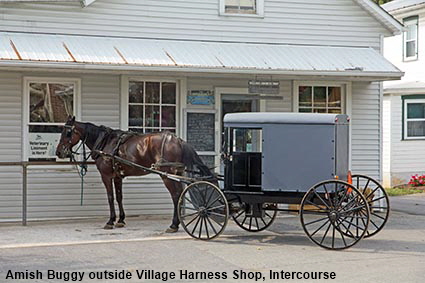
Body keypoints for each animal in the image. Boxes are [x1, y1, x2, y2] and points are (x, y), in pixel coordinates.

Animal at [55, 116, 215, 232]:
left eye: (67, 132)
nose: (58, 152)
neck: (105, 142)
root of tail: (178, 140)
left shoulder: (106, 176)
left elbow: (110, 197)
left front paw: (110, 221)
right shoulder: (117, 177)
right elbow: (119, 197)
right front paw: (120, 220)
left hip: (167, 175)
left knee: (176, 196)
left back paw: (174, 225)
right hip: (176, 173)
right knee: (180, 194)